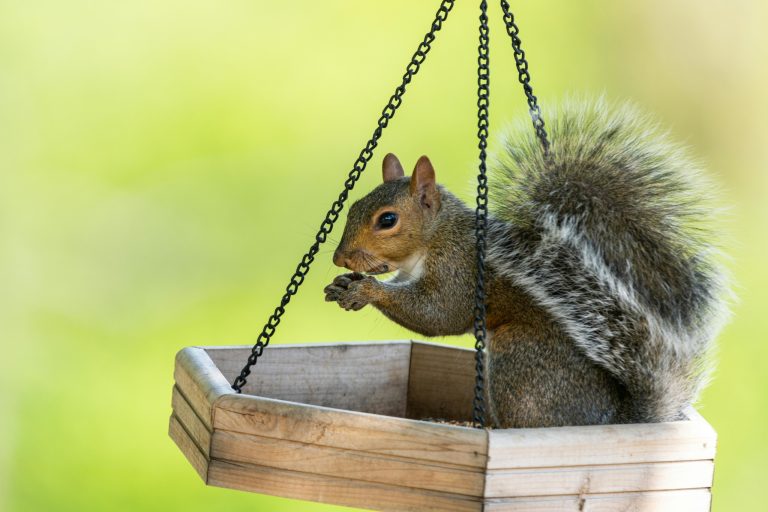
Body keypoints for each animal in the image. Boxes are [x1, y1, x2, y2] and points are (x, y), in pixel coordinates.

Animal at [324, 99, 730, 428]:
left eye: (387, 220)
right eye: (353, 204)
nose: (338, 257)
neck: (433, 239)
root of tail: (609, 419)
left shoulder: (461, 269)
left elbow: (439, 315)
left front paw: (367, 290)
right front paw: (343, 285)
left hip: (516, 359)